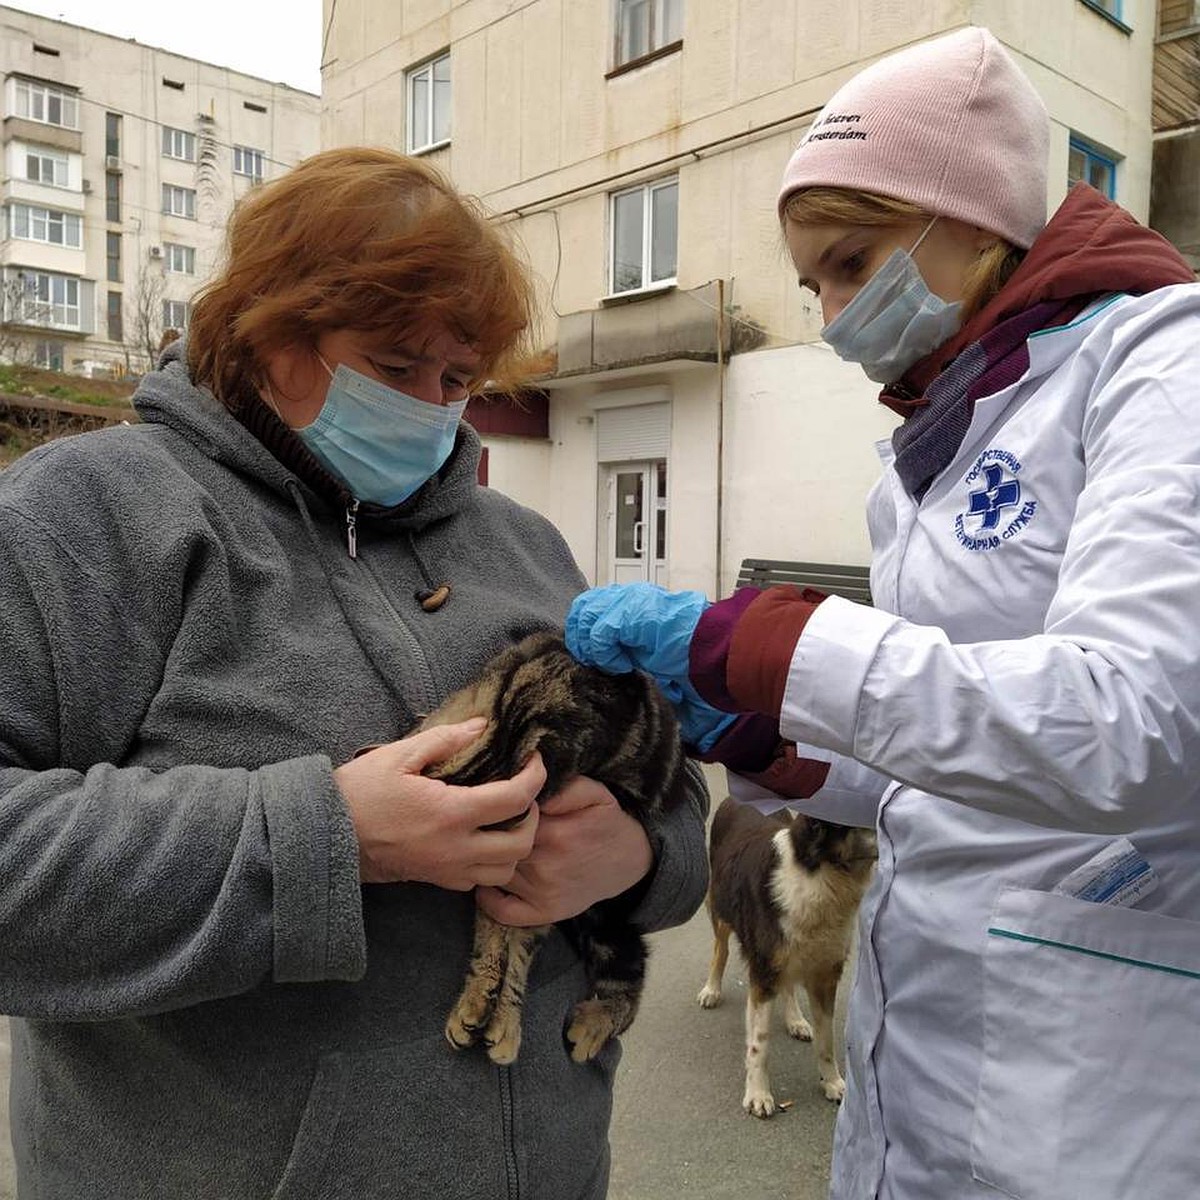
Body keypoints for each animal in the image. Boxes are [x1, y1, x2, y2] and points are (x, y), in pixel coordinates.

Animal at [417, 633, 691, 1065]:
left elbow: (512, 944)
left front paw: (498, 1020)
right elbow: (495, 935)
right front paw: (479, 1004)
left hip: (606, 926)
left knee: (629, 982)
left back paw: (592, 1026)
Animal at [700, 796, 878, 1113]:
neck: (818, 873)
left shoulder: (825, 975)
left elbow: (826, 1040)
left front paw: (832, 1083)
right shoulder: (763, 973)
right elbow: (759, 1043)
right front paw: (758, 1094)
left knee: (789, 986)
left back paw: (795, 1020)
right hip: (720, 907)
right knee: (720, 949)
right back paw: (712, 989)